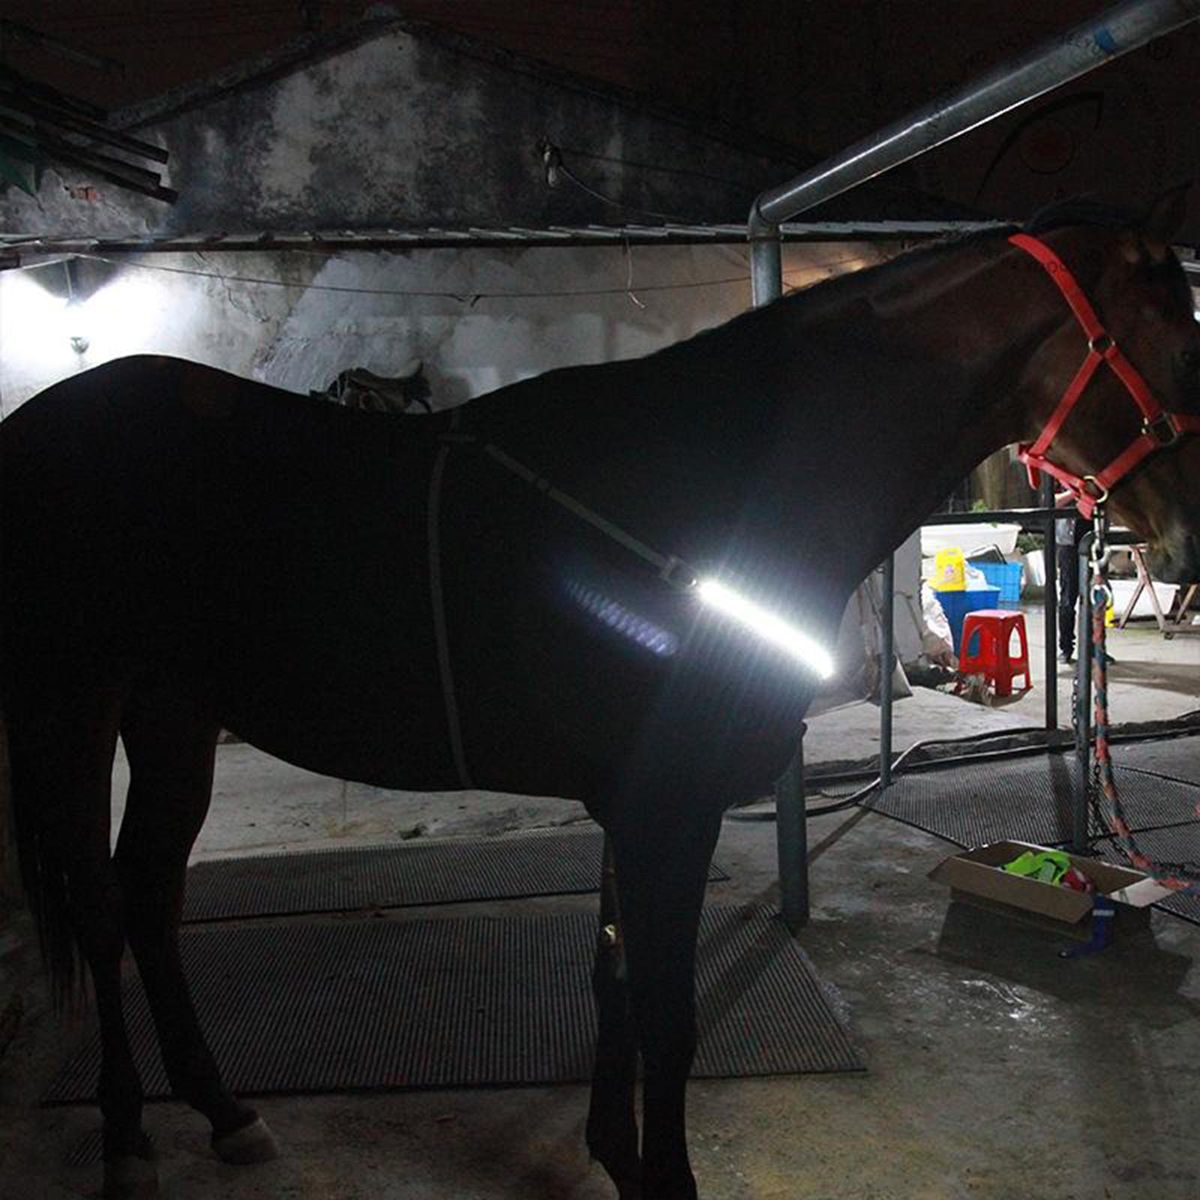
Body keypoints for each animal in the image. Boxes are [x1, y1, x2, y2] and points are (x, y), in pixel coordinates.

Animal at [2, 187, 1199, 1200]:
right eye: (1172, 322)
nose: (1188, 538)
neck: (706, 487)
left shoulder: (636, 806)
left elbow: (613, 987)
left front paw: (615, 1156)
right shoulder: (667, 806)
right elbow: (664, 1015)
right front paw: (660, 1177)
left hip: (173, 712)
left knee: (150, 898)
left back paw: (224, 1111)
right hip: (74, 707)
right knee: (104, 906)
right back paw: (127, 1136)